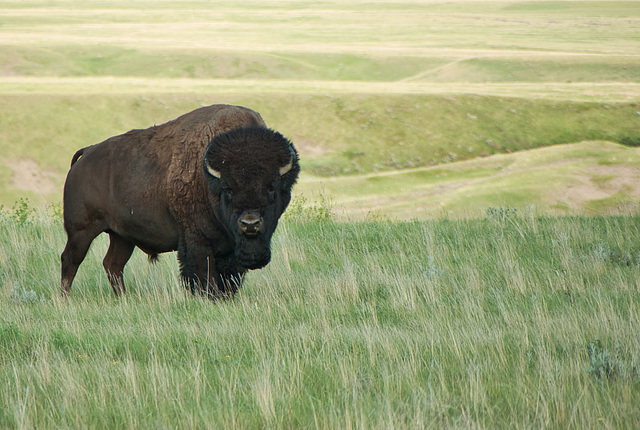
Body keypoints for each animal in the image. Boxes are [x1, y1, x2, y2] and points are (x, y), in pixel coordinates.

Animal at [61, 104, 298, 298]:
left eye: (272, 187)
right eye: (228, 188)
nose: (250, 224)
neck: (209, 178)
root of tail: (87, 153)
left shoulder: (230, 247)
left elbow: (231, 277)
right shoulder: (197, 241)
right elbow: (203, 275)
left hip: (121, 236)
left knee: (112, 264)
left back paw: (123, 299)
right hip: (81, 231)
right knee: (70, 260)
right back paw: (65, 299)